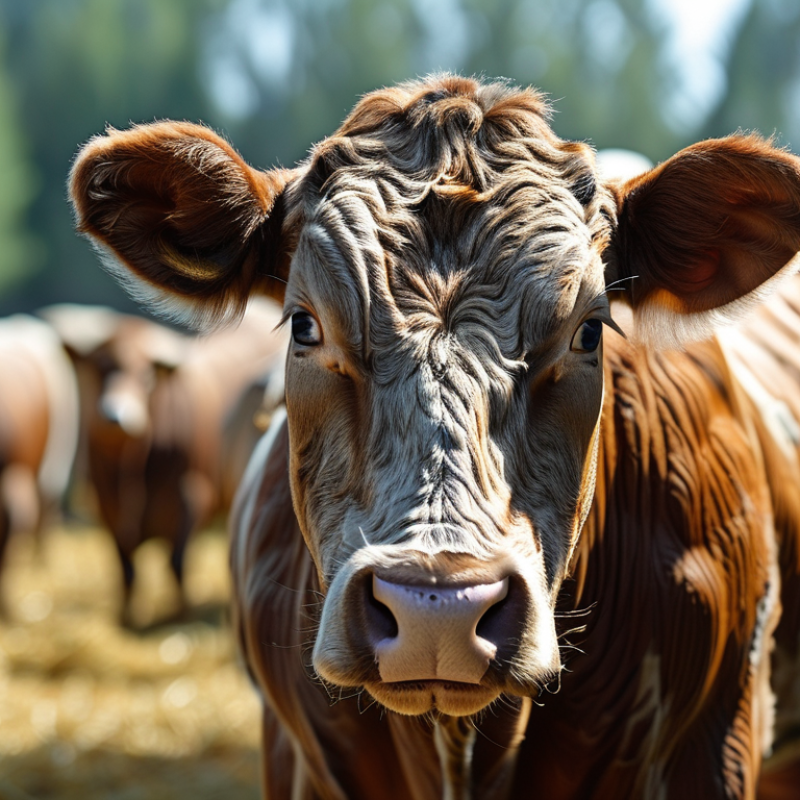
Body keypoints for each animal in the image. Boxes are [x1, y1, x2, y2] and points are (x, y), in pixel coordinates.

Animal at [43, 301, 285, 623]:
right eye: (98, 368)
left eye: (146, 376)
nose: (115, 417)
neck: (131, 470)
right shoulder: (107, 510)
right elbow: (127, 570)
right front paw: (128, 615)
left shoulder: (193, 498)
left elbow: (176, 562)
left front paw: (183, 613)